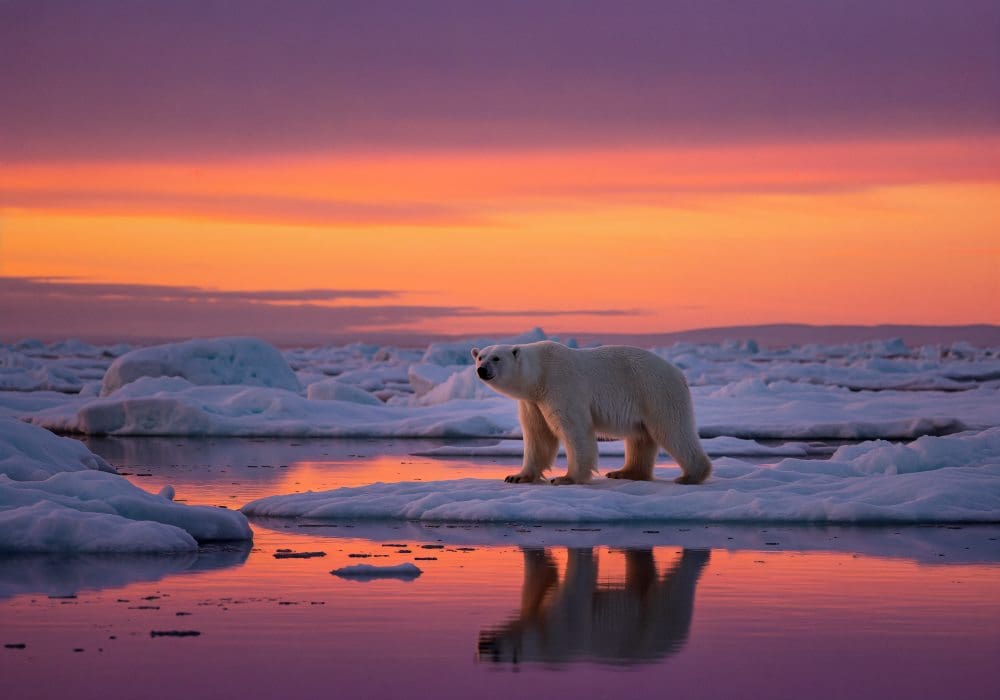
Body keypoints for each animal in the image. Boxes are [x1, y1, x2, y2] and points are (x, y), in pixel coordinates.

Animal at [471, 341, 712, 485]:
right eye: (480, 356)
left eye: (496, 358)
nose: (481, 370)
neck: (539, 375)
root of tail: (679, 373)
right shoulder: (533, 402)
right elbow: (538, 436)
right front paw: (516, 476)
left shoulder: (560, 385)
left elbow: (574, 430)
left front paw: (566, 478)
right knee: (640, 437)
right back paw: (624, 472)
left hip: (656, 391)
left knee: (672, 430)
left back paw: (690, 475)